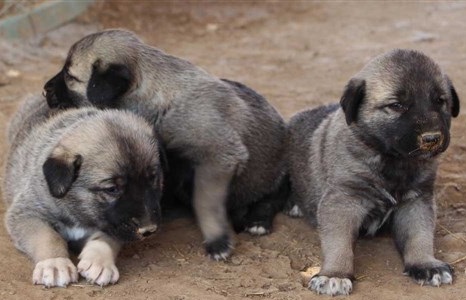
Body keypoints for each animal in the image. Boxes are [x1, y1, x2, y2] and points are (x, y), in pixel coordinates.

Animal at [2, 95, 164, 288]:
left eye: (152, 179)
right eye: (112, 189)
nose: (149, 230)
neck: (76, 210)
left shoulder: (113, 226)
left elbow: (105, 238)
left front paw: (100, 262)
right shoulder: (27, 213)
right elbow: (47, 236)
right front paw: (55, 263)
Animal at [42, 28, 288, 260]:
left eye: (69, 76)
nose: (44, 90)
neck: (156, 96)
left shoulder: (219, 157)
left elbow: (205, 201)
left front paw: (217, 240)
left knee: (273, 196)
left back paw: (259, 220)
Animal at [288, 49, 458, 296]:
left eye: (440, 101)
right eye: (397, 105)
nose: (432, 138)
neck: (393, 160)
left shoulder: (417, 200)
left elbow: (420, 235)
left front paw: (426, 264)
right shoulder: (343, 199)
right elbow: (338, 242)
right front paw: (335, 274)